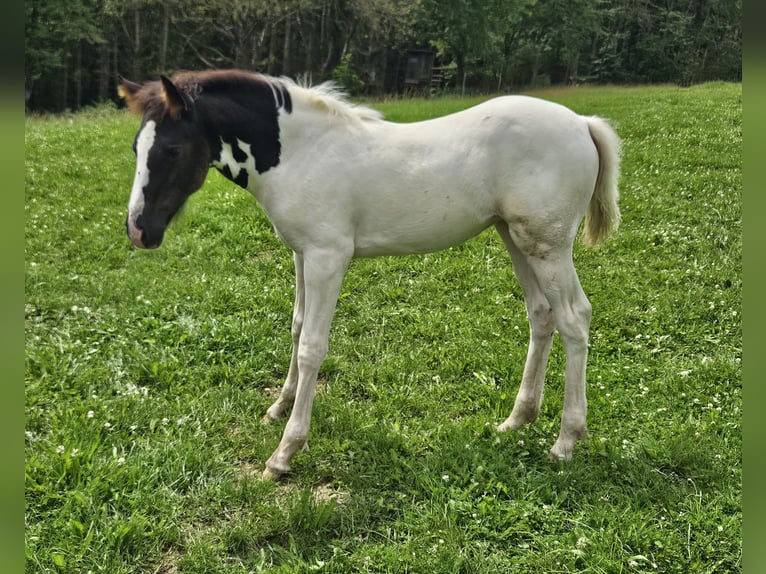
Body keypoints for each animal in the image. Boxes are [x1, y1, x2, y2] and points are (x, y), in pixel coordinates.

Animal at [121, 71, 624, 482]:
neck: (303, 152)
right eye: (134, 148)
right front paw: (278, 406)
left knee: (574, 318)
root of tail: (582, 123)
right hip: (516, 238)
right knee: (541, 315)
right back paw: (517, 419)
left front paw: (285, 452)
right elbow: (297, 327)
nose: (139, 230)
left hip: (548, 246)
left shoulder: (328, 257)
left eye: (171, 148)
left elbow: (313, 347)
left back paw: (565, 441)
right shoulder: (302, 254)